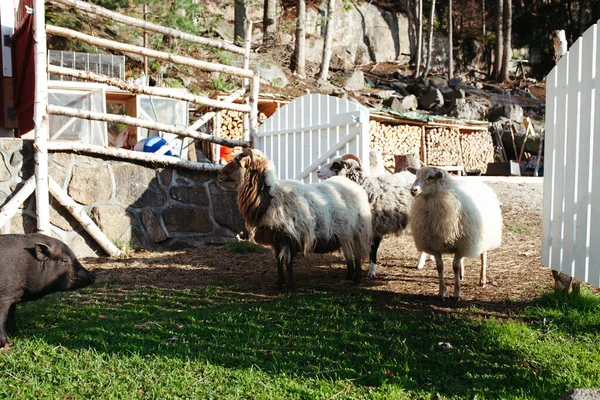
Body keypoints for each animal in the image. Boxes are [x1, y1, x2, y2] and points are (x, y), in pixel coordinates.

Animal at [218, 148, 372, 290]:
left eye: (237, 161)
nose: (219, 174)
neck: (270, 197)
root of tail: (352, 184)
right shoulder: (274, 237)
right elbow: (278, 262)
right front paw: (280, 283)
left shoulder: (291, 236)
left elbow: (288, 263)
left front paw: (290, 285)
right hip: (345, 232)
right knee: (349, 253)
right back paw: (349, 276)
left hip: (358, 230)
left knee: (357, 254)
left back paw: (357, 279)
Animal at [410, 166, 504, 300]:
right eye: (416, 175)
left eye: (431, 177)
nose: (413, 190)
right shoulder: (435, 246)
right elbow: (440, 267)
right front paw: (442, 292)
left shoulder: (461, 245)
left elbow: (455, 266)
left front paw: (457, 293)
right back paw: (461, 274)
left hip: (483, 236)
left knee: (483, 257)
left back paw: (482, 279)